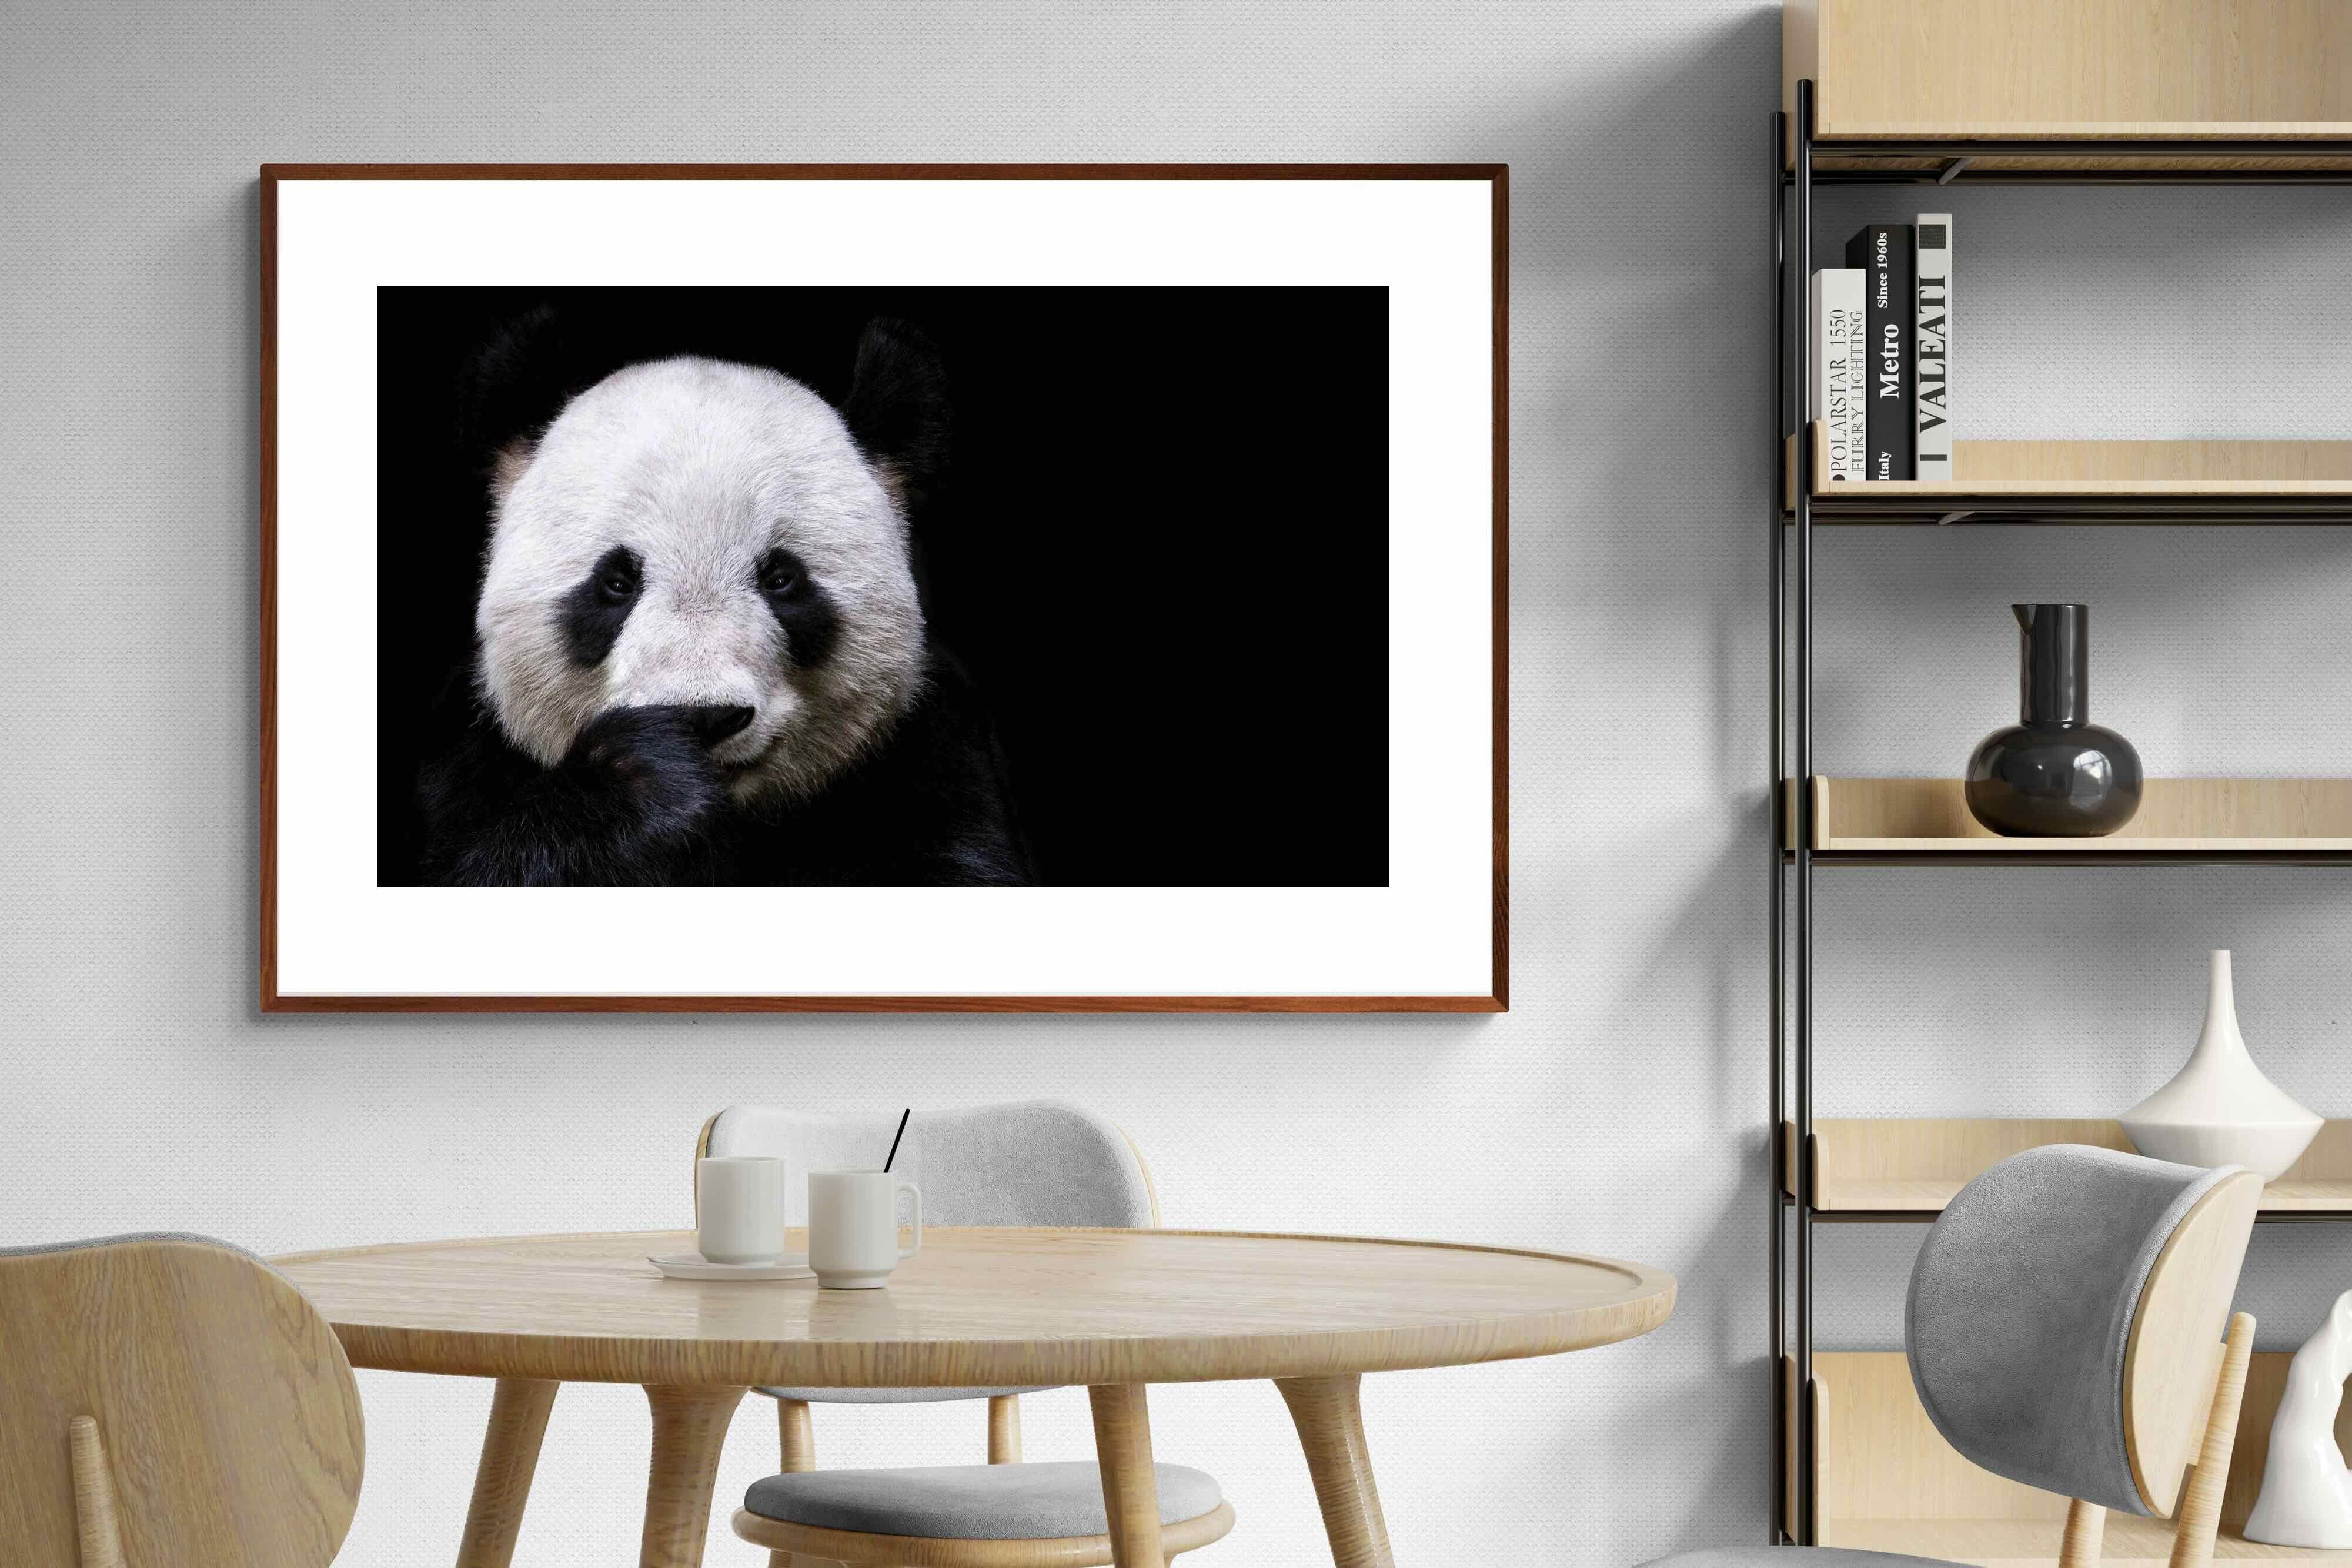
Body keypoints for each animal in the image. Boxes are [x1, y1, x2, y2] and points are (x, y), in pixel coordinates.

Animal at [414, 313, 1032, 886]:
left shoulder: (932, 755)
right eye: (616, 582)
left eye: (781, 579)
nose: (705, 717)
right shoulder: (467, 759)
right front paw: (640, 782)